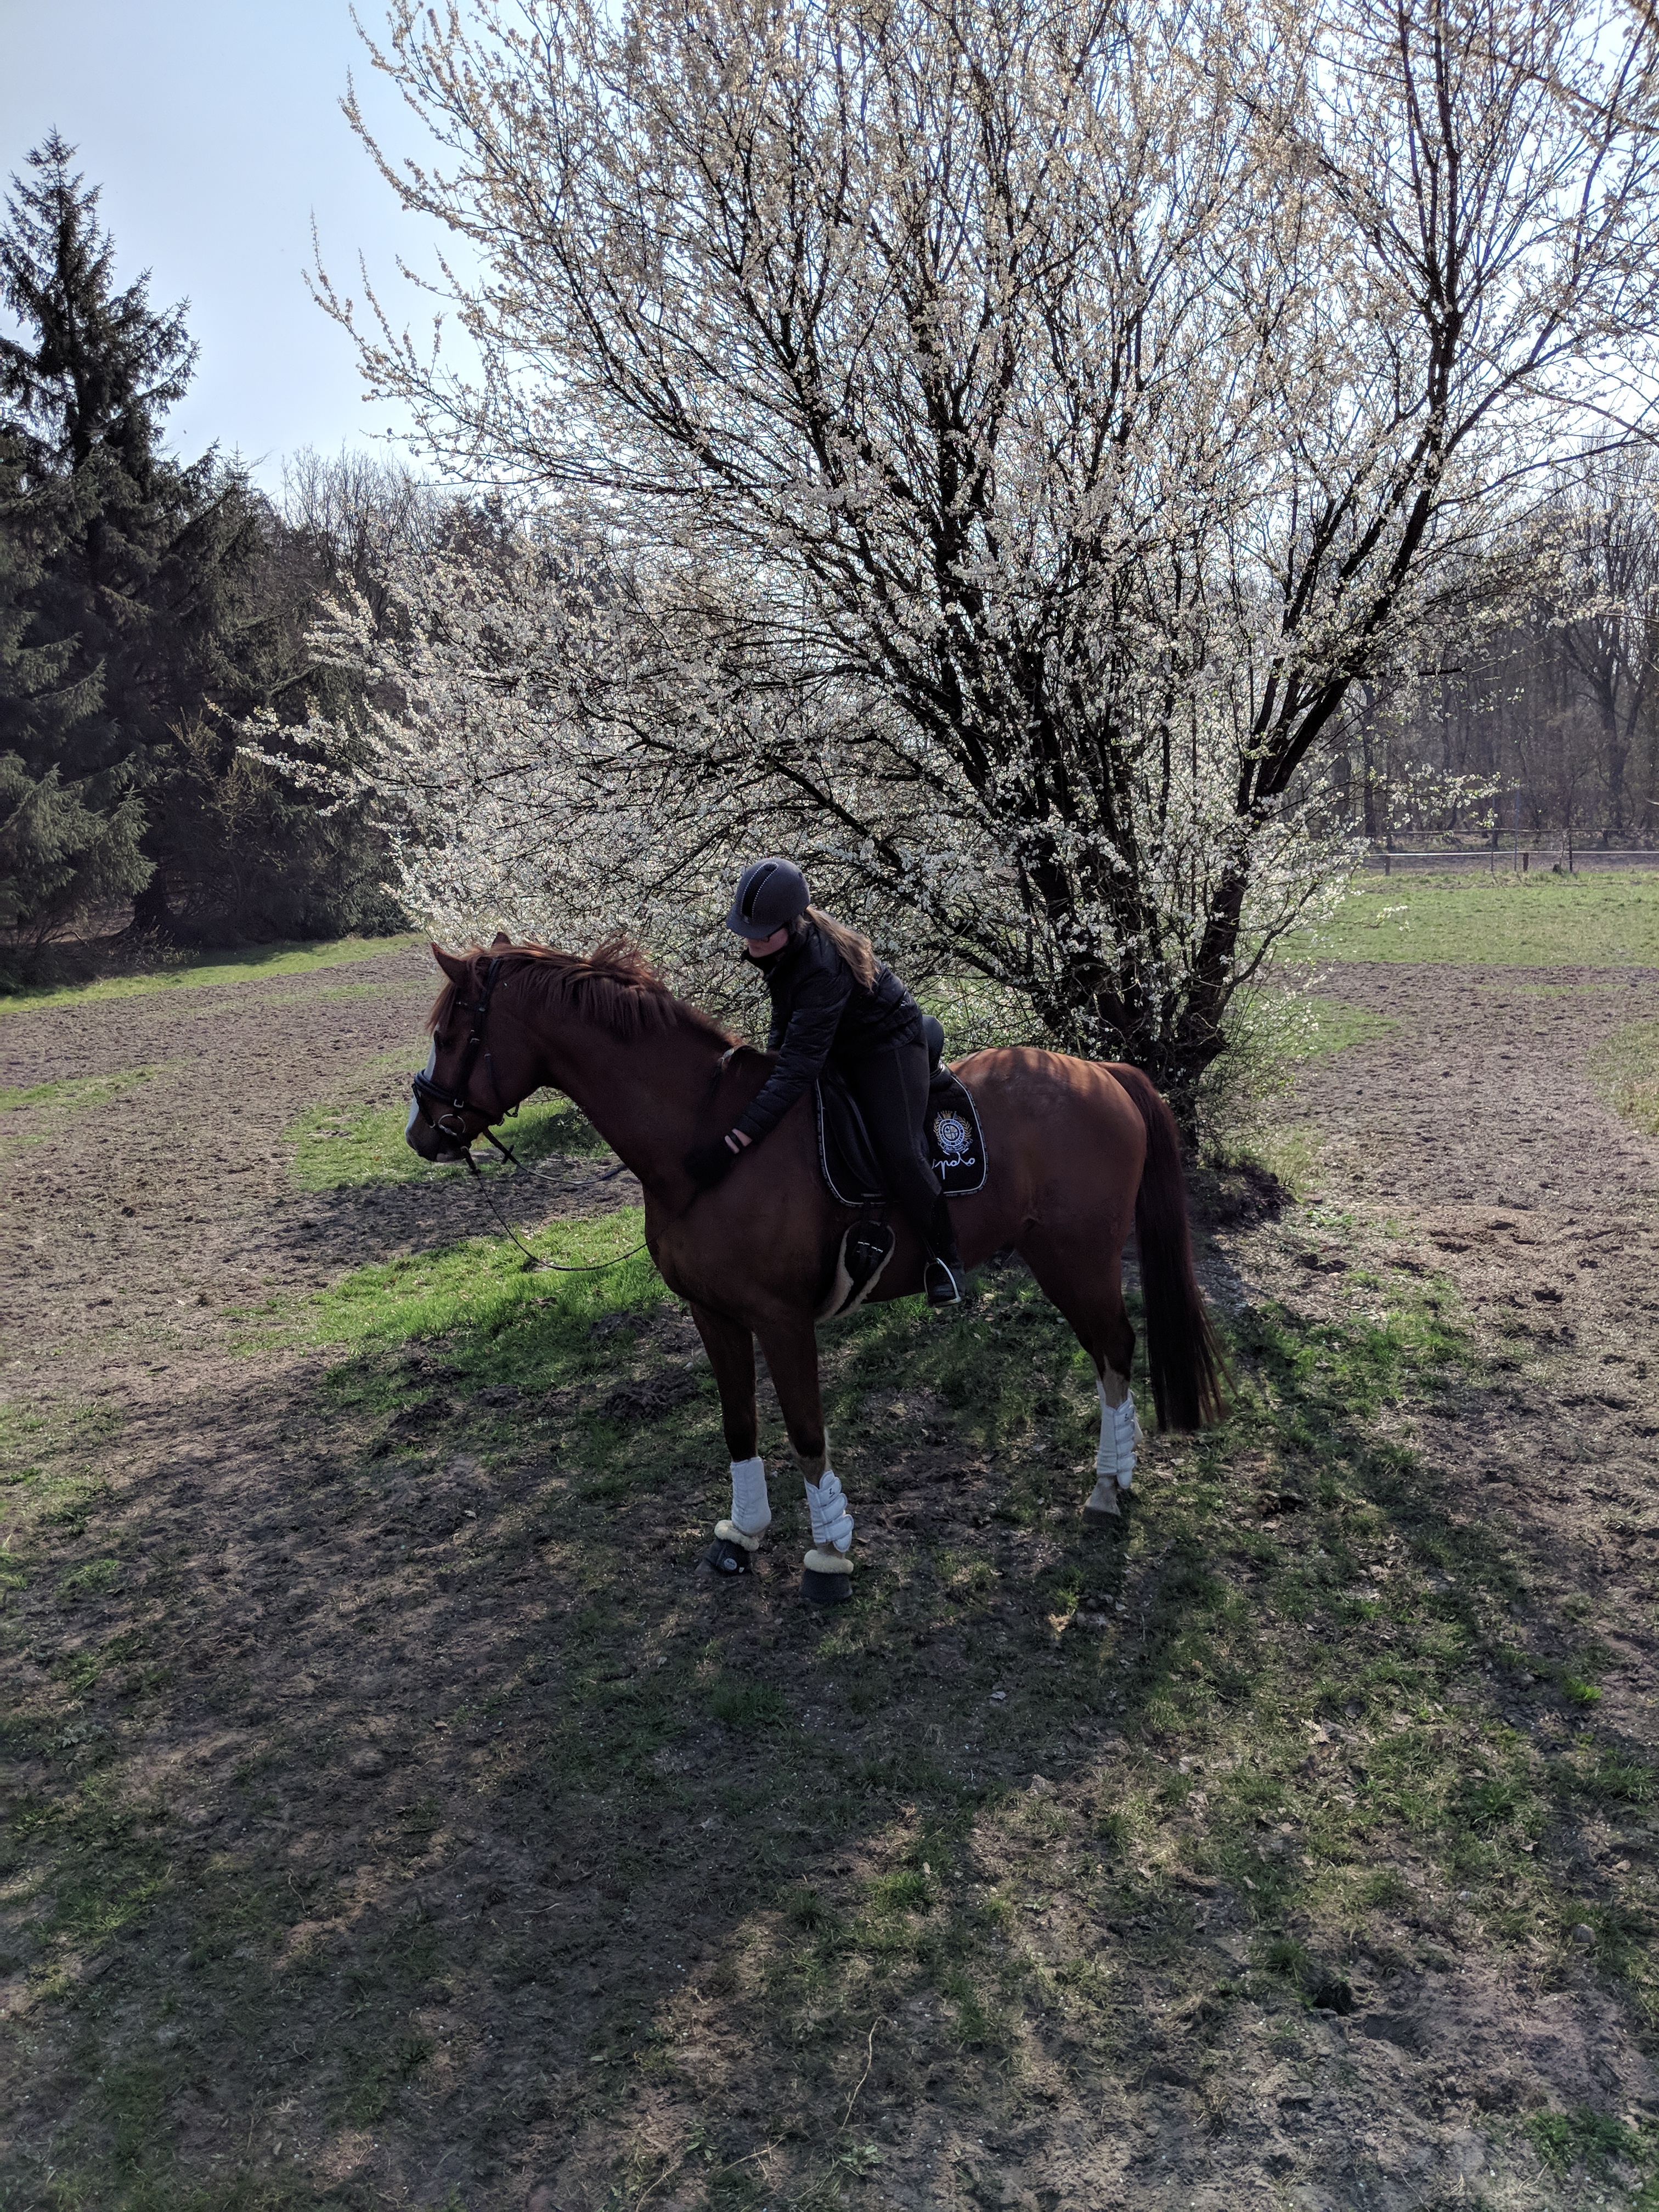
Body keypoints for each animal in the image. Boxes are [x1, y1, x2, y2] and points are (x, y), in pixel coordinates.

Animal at [405, 936, 1225, 1601]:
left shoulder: (781, 1319)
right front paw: (741, 1534)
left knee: (1114, 1349)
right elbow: (739, 1424)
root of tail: (1104, 1072)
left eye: (451, 1033)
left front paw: (829, 1553)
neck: (706, 1142)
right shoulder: (713, 1314)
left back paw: (1110, 1485)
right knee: (1108, 1352)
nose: (421, 1134)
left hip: (1076, 1257)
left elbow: (805, 1431)